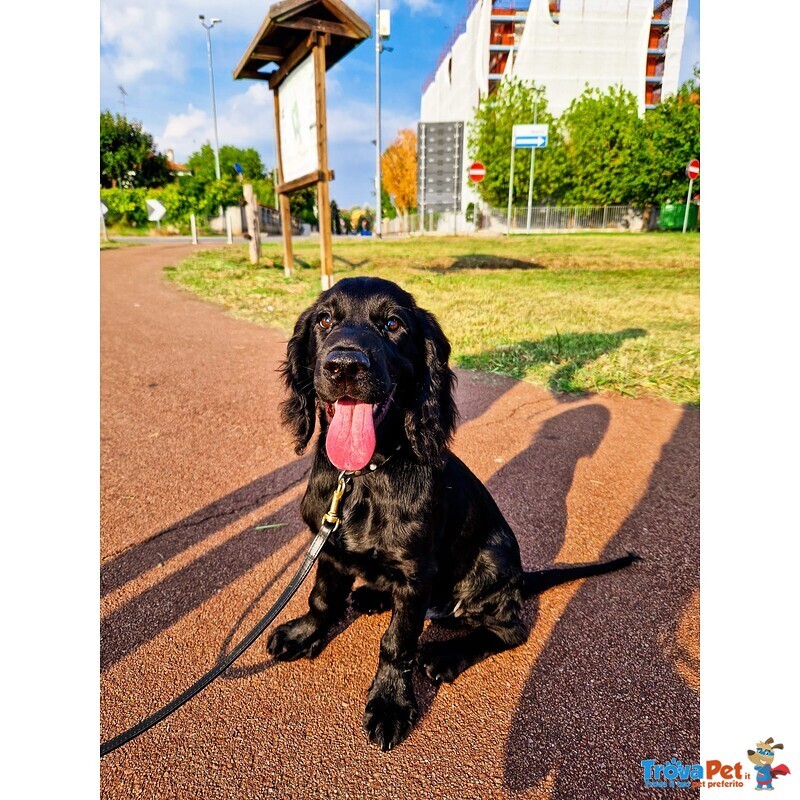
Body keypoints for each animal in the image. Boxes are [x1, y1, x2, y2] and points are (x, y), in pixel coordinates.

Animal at [268, 276, 636, 752]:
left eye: (393, 324)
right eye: (325, 320)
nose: (344, 365)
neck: (365, 475)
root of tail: (521, 577)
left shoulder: (415, 572)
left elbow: (398, 642)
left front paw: (390, 704)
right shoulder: (330, 548)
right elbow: (322, 598)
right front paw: (305, 634)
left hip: (490, 562)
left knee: (509, 629)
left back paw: (445, 653)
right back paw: (372, 596)